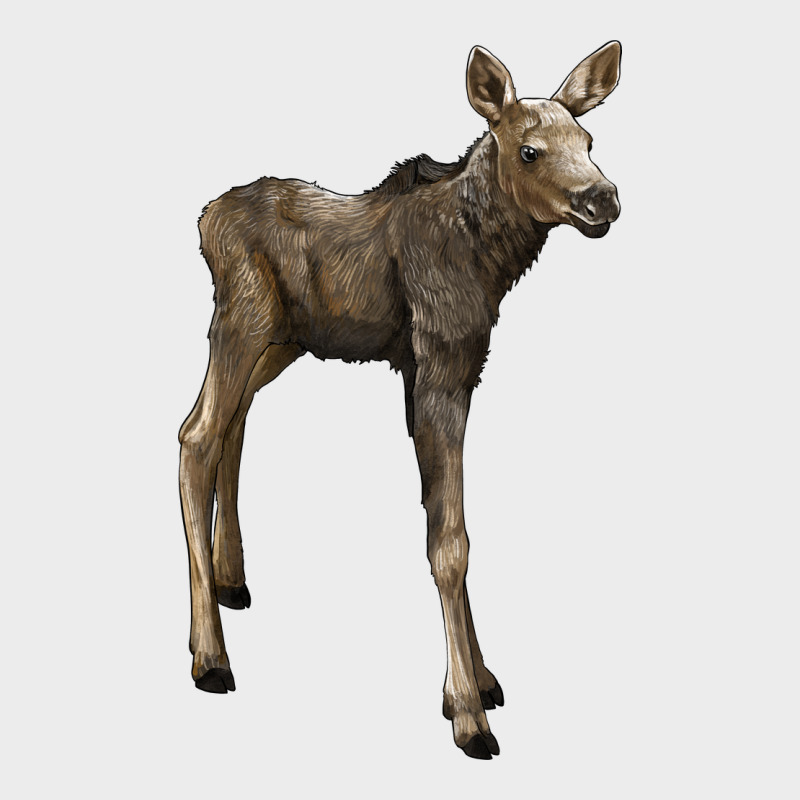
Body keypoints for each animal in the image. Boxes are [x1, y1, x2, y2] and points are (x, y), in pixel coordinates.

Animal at [179, 42, 622, 759]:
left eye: (587, 140)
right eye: (530, 150)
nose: (602, 197)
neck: (487, 261)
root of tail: (204, 217)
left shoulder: (452, 370)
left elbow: (447, 520)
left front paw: (479, 682)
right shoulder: (438, 365)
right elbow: (450, 540)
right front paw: (468, 713)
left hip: (282, 340)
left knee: (232, 425)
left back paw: (231, 581)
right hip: (243, 319)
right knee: (195, 435)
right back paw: (210, 657)